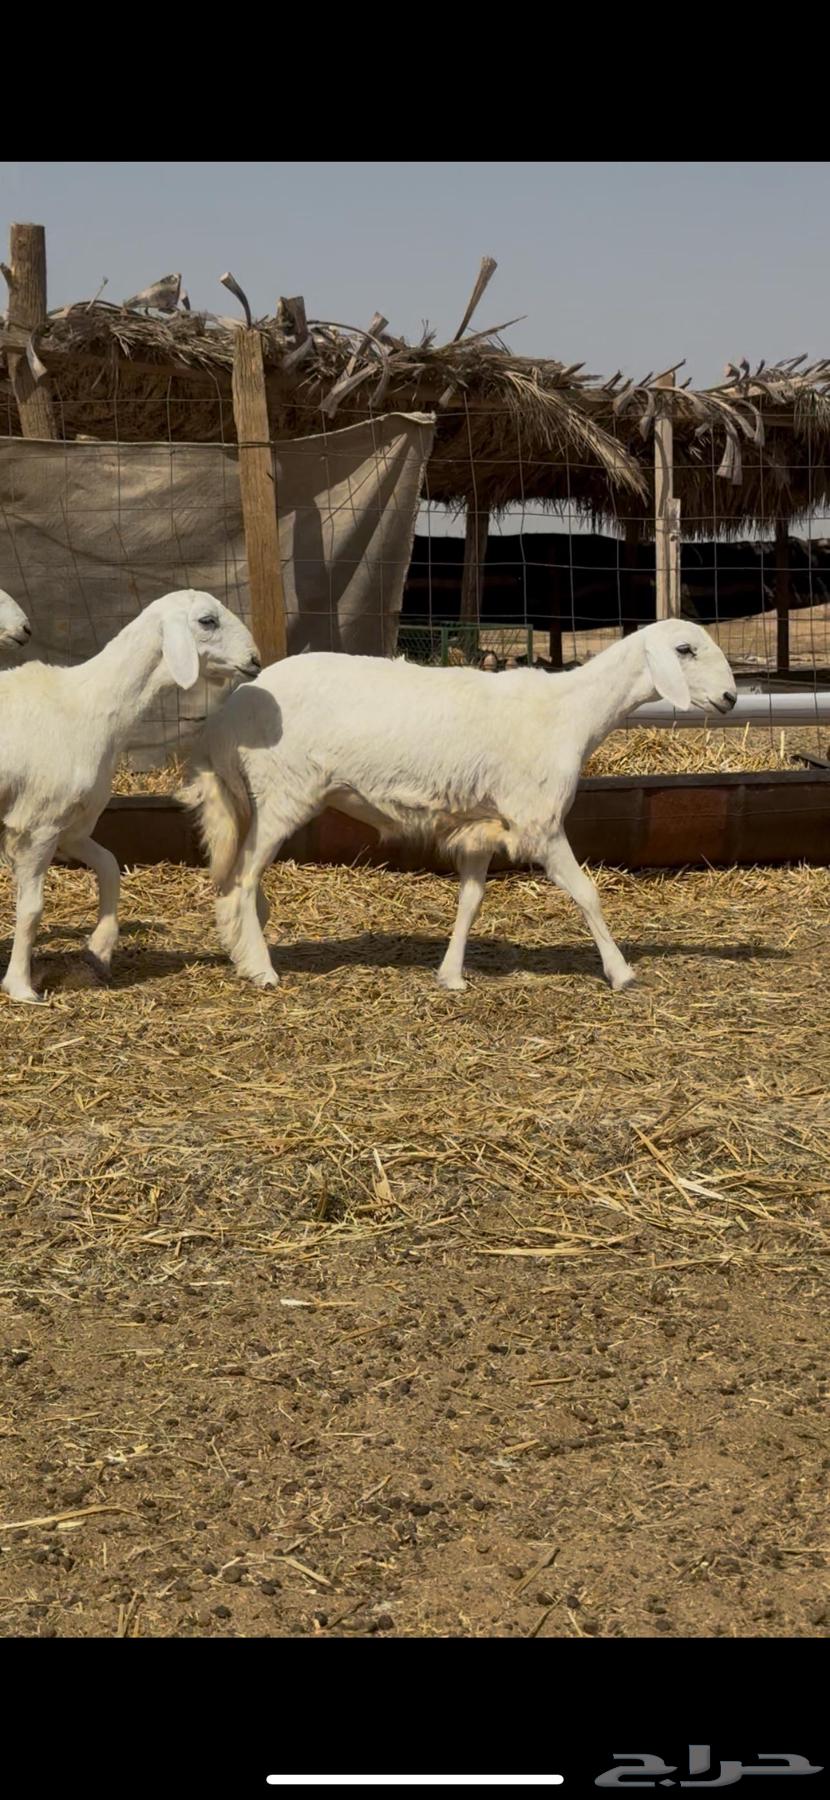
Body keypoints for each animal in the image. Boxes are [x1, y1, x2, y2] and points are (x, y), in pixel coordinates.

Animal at [0, 589, 260, 1004]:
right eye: (207, 621)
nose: (255, 661)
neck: (88, 703)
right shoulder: (39, 823)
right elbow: (31, 909)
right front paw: (21, 986)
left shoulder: (72, 825)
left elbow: (109, 865)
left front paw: (100, 950)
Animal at [181, 618, 737, 996]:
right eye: (685, 649)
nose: (731, 698)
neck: (570, 712)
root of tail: (226, 719)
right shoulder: (538, 822)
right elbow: (587, 893)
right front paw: (621, 972)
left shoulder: (480, 826)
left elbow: (470, 901)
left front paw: (450, 975)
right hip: (283, 792)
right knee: (242, 879)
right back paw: (261, 968)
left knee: (240, 879)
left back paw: (244, 947)